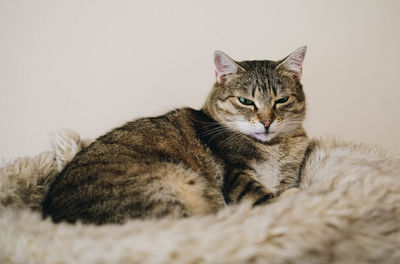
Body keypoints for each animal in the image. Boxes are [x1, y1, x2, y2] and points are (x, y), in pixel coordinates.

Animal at [41, 46, 310, 224]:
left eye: (281, 100)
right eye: (245, 101)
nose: (266, 122)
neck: (276, 148)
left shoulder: (287, 175)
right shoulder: (237, 178)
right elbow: (268, 199)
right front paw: (295, 196)